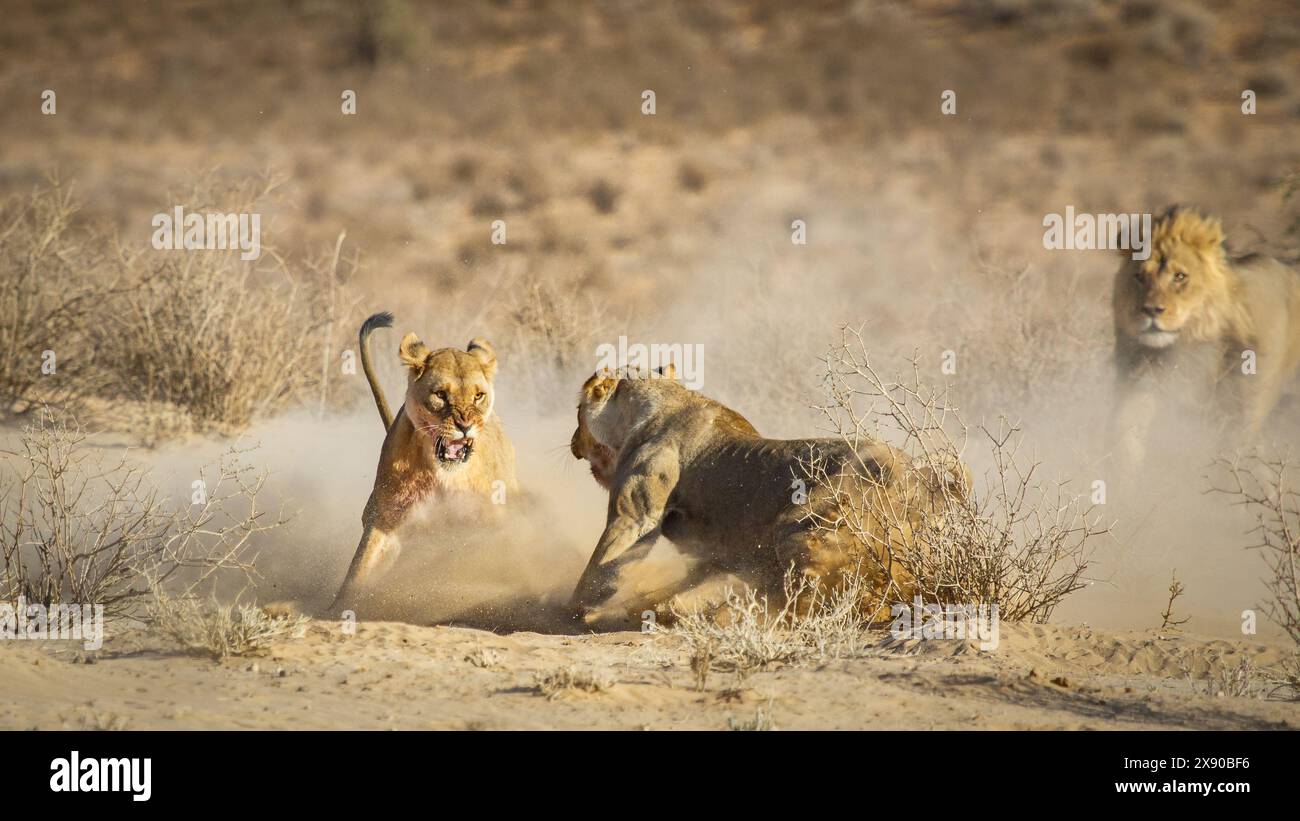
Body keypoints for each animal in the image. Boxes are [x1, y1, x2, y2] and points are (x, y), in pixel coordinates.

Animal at [330, 310, 517, 613]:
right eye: (440, 394)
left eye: (478, 395)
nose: (465, 426)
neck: (442, 474)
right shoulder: (383, 517)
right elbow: (359, 568)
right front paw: (340, 608)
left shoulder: (492, 517)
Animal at [564, 366, 961, 620]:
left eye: (577, 411)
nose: (571, 441)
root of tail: (919, 473)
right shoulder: (714, 554)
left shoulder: (636, 516)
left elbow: (604, 565)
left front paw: (574, 609)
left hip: (800, 522)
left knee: (801, 599)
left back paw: (696, 611)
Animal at [1112, 203, 1300, 462]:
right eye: (1140, 277)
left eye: (1180, 276)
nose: (1151, 310)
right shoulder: (1142, 385)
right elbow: (1128, 438)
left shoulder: (1244, 409)